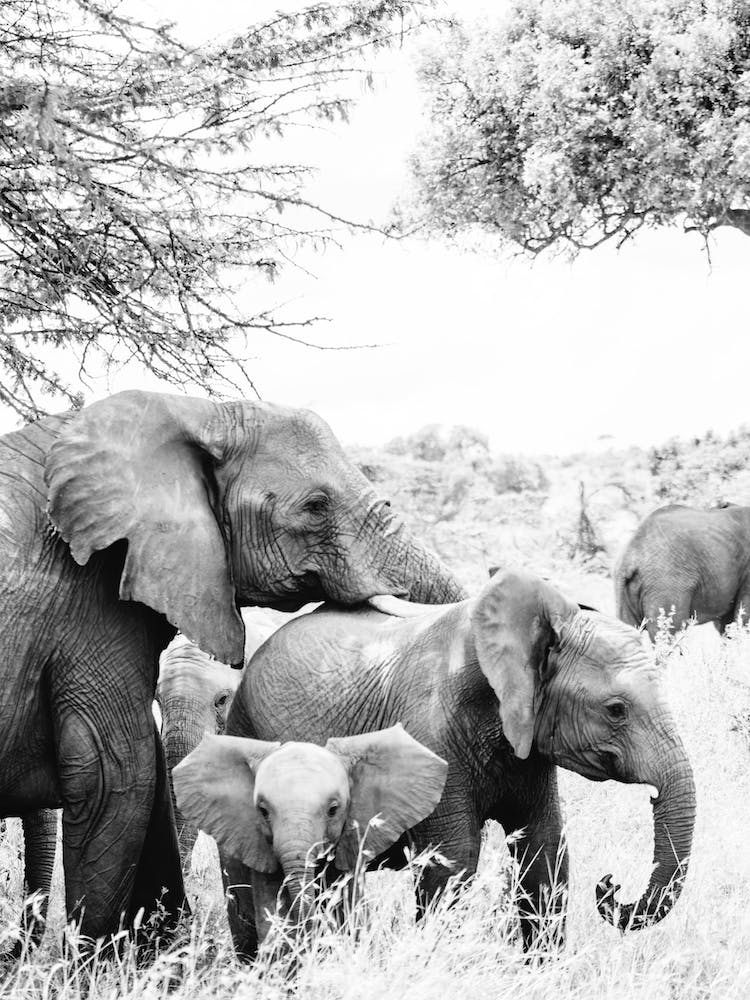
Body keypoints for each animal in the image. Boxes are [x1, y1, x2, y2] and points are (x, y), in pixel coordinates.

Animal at [220, 570, 696, 958]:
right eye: (616, 710)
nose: (610, 885)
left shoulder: (527, 742)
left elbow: (544, 850)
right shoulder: (431, 737)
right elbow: (453, 861)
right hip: (245, 733)